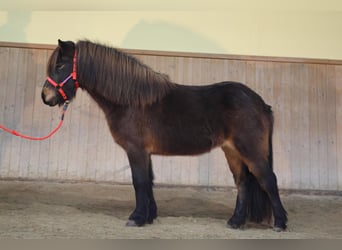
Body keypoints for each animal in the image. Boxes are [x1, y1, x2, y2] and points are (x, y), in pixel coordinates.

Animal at [41, 39, 288, 232]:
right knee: (243, 182)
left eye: (60, 65)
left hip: (250, 150)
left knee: (268, 179)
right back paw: (236, 221)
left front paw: (136, 218)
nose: (46, 97)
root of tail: (260, 103)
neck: (131, 100)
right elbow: (149, 181)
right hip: (232, 151)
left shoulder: (136, 150)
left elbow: (139, 181)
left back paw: (280, 223)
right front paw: (149, 216)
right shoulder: (146, 153)